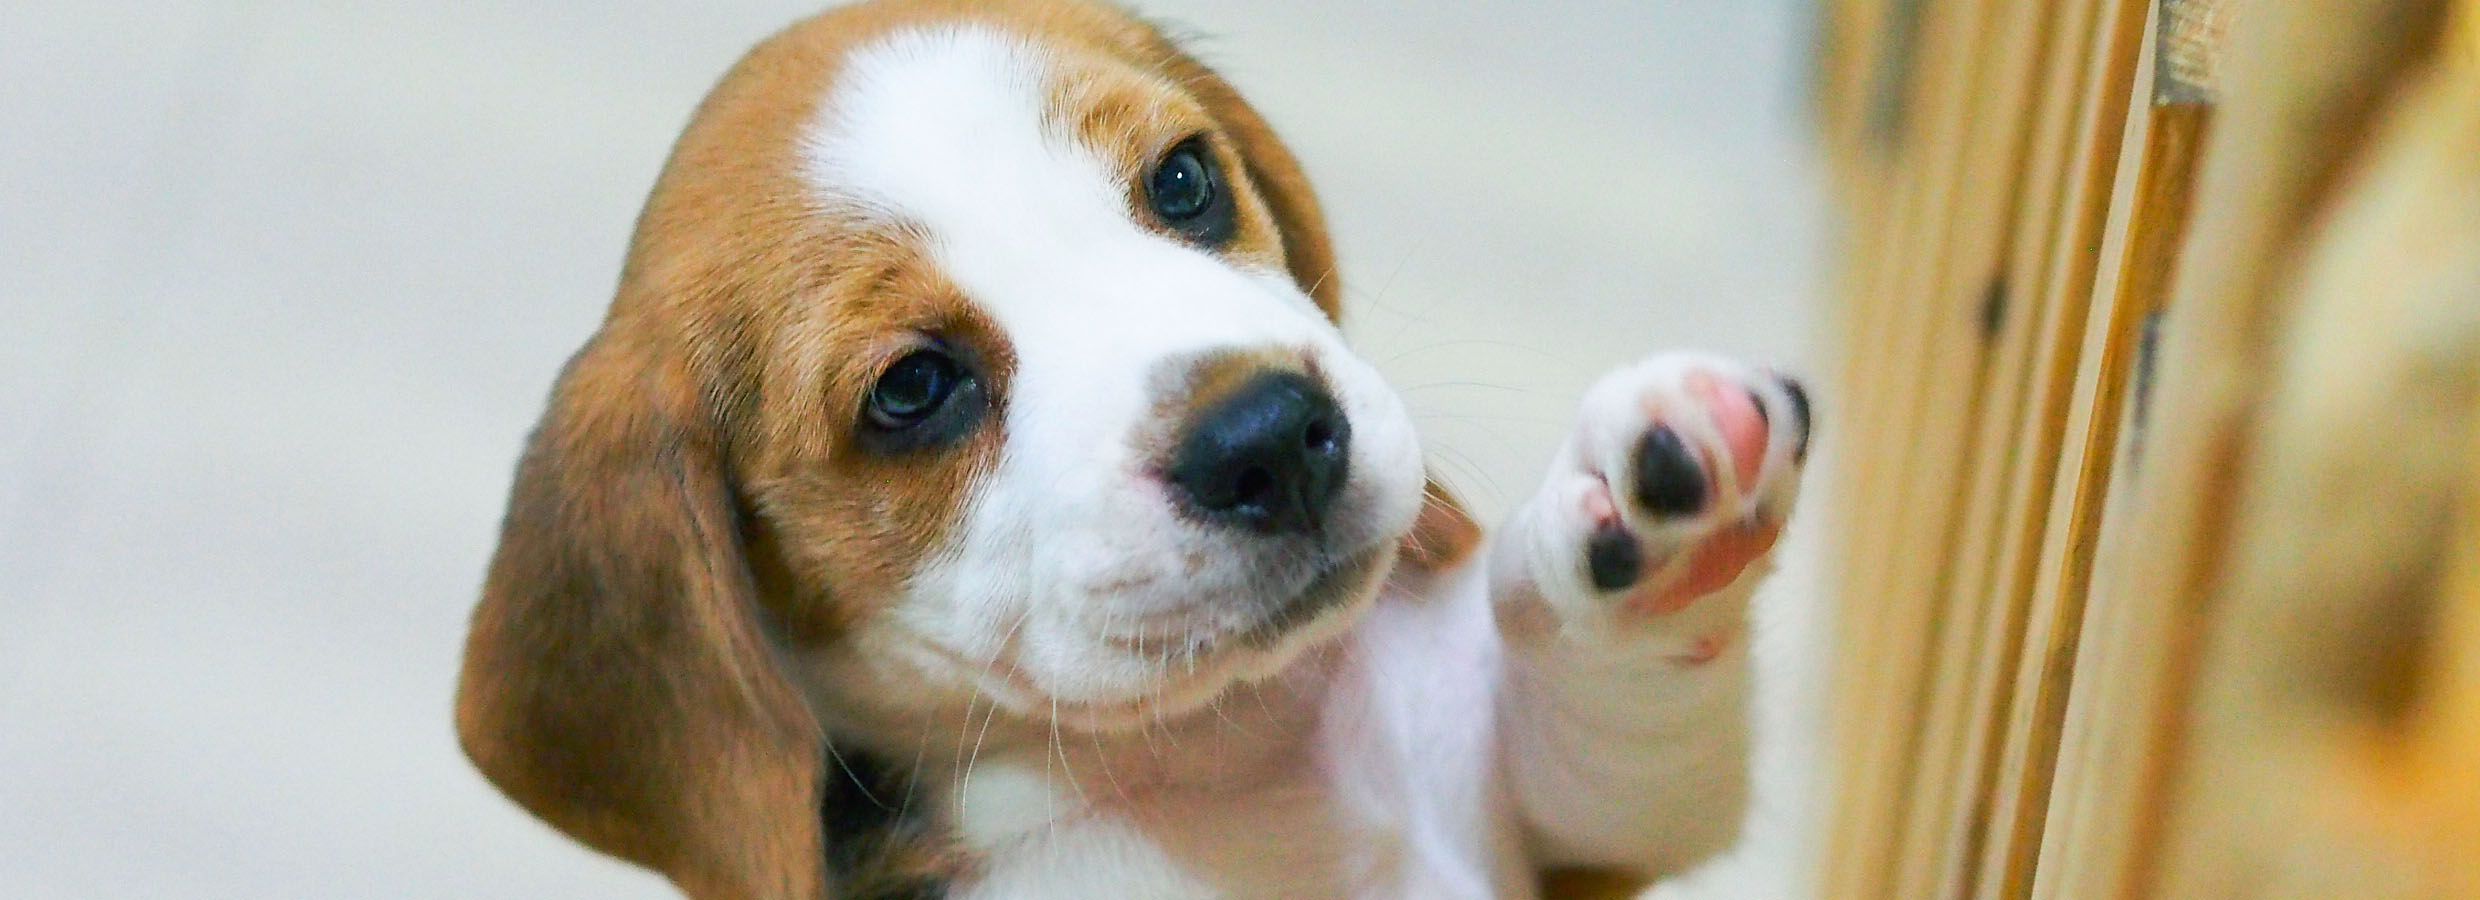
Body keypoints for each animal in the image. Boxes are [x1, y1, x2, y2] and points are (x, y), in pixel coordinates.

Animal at [456, 1, 1815, 900]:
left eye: (1181, 182)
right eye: (913, 391)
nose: (1270, 438)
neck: (1216, 758)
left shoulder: (1572, 827)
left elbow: (1610, 726)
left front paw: (1656, 515)